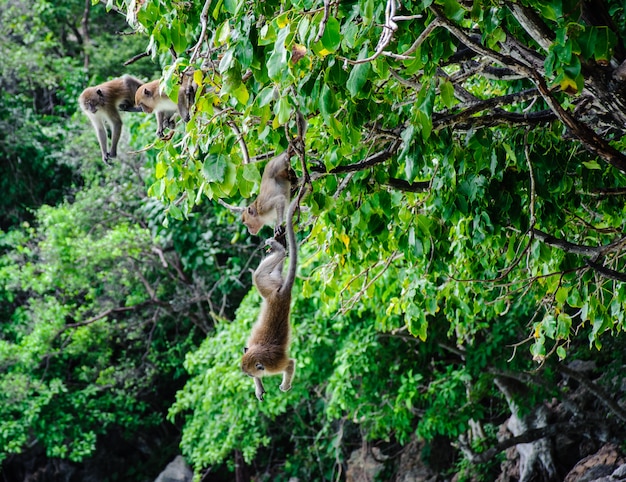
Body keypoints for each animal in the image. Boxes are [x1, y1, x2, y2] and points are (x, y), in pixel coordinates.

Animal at [240, 190, 302, 402]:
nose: (246, 375)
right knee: (260, 276)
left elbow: (290, 363)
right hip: (270, 286)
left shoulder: (274, 365)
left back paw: (280, 250)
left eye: (248, 373)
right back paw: (279, 249)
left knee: (258, 275)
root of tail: (280, 295)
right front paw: (259, 387)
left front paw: (284, 385)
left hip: (269, 288)